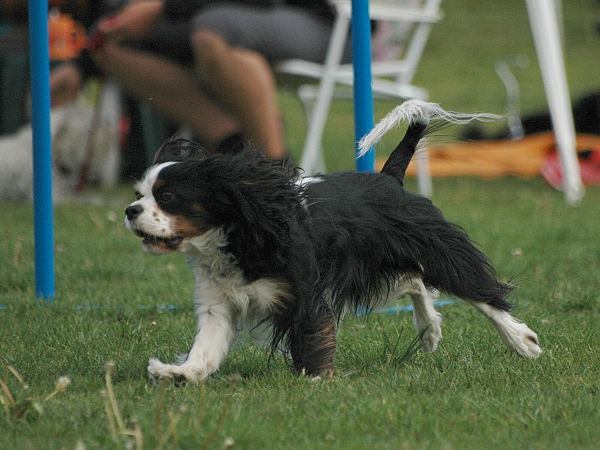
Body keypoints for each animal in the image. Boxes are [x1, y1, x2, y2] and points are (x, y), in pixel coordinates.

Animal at [124, 100, 540, 382]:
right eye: (139, 194)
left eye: (167, 197)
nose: (130, 211)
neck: (239, 234)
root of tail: (388, 177)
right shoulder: (218, 304)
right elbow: (206, 350)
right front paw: (178, 373)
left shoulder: (306, 294)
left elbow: (311, 336)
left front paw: (316, 379)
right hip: (377, 268)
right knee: (414, 282)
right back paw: (429, 331)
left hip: (434, 247)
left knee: (480, 293)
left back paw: (520, 340)